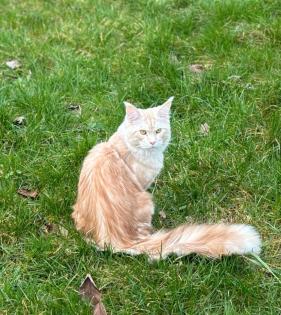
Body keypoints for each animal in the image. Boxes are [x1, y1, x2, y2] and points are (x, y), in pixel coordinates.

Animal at [72, 97, 260, 260]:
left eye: (158, 131)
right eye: (143, 132)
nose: (153, 142)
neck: (124, 146)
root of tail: (116, 240)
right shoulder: (143, 183)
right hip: (147, 200)